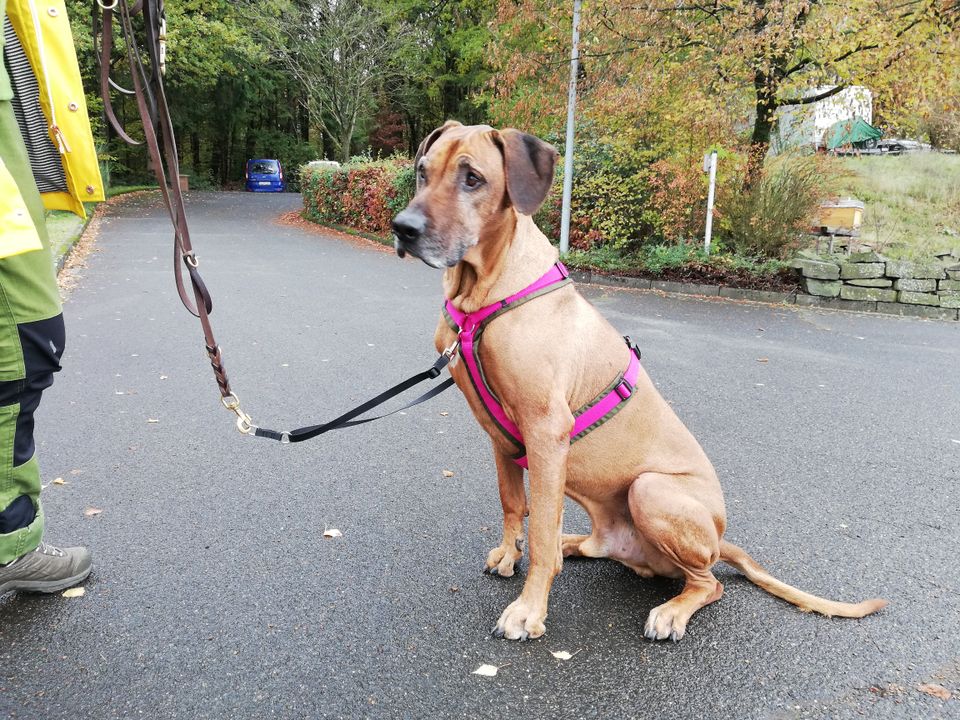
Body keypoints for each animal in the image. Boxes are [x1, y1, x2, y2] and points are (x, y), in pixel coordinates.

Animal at [390, 122, 884, 640]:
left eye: (473, 178)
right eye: (423, 171)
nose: (402, 228)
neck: (482, 296)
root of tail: (720, 539)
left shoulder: (545, 430)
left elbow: (539, 530)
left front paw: (528, 609)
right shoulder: (499, 436)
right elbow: (513, 503)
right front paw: (510, 553)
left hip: (650, 490)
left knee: (708, 582)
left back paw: (671, 610)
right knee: (596, 545)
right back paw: (575, 543)